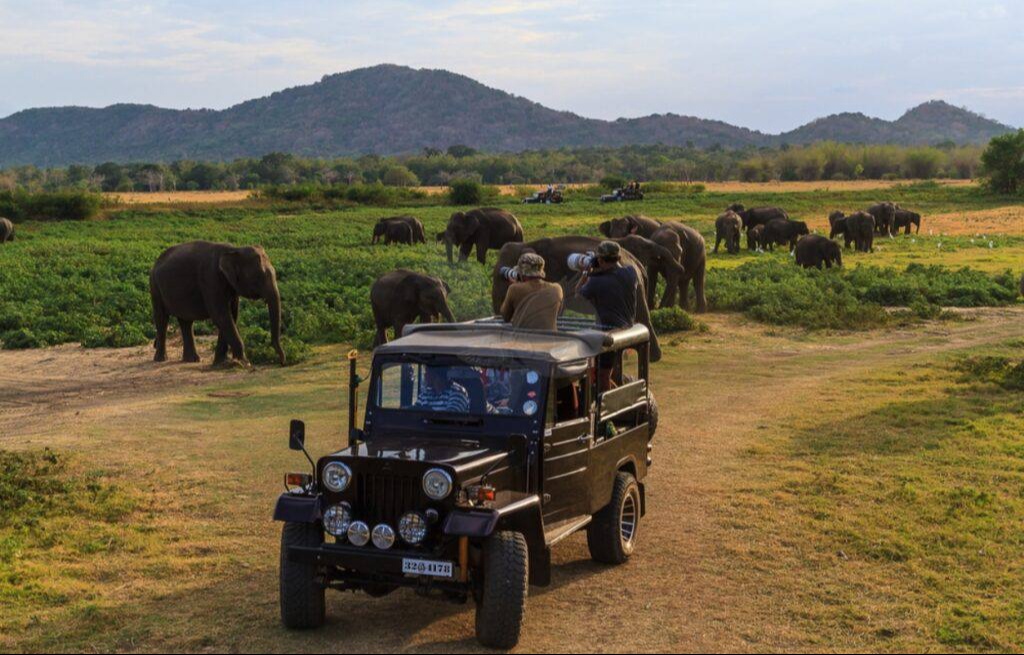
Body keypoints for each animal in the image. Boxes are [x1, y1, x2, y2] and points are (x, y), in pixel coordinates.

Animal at [148, 240, 284, 366]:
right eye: (257, 278)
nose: (282, 362)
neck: (234, 249)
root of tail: (155, 262)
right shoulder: (211, 279)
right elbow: (221, 316)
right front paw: (244, 363)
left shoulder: (230, 286)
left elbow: (232, 315)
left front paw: (222, 362)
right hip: (154, 286)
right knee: (161, 318)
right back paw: (161, 359)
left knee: (185, 321)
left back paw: (192, 360)